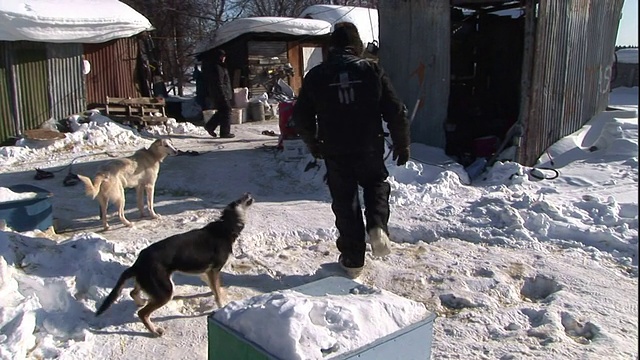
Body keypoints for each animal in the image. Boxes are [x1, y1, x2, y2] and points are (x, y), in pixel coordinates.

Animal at [95, 193, 255, 336]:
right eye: (239, 200)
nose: (248, 193)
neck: (226, 226)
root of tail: (138, 263)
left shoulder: (206, 271)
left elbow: (213, 286)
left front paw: (215, 291)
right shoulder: (214, 270)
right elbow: (217, 293)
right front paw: (221, 305)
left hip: (151, 284)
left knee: (133, 293)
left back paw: (141, 302)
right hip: (166, 291)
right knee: (142, 313)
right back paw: (155, 331)